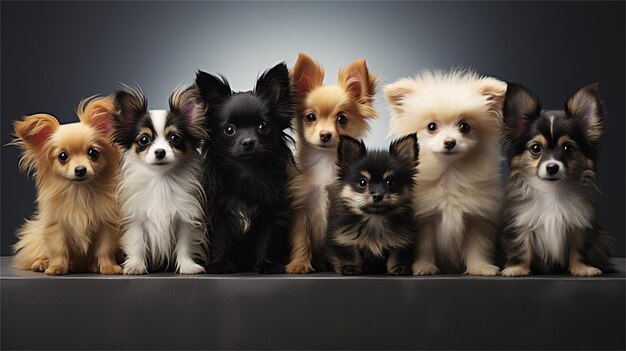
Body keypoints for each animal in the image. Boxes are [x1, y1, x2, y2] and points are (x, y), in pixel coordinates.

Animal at [195, 62, 292, 274]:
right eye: (229, 129)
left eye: (263, 126)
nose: (248, 142)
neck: (247, 172)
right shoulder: (218, 214)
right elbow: (220, 239)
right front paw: (220, 264)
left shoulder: (271, 215)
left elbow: (268, 240)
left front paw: (267, 265)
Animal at [286, 53, 378, 274]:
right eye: (310, 117)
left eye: (342, 119)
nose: (325, 134)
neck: (325, 160)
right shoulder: (301, 205)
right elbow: (300, 238)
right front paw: (300, 264)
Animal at [324, 134, 416, 276]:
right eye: (363, 182)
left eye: (391, 182)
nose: (377, 195)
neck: (375, 219)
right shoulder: (342, 239)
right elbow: (349, 254)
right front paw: (350, 268)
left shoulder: (403, 240)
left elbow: (397, 255)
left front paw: (398, 268)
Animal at [500, 84, 612, 276]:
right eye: (535, 148)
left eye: (568, 148)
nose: (552, 167)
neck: (552, 190)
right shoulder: (521, 221)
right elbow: (520, 246)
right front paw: (516, 268)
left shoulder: (579, 223)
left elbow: (579, 248)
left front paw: (582, 268)